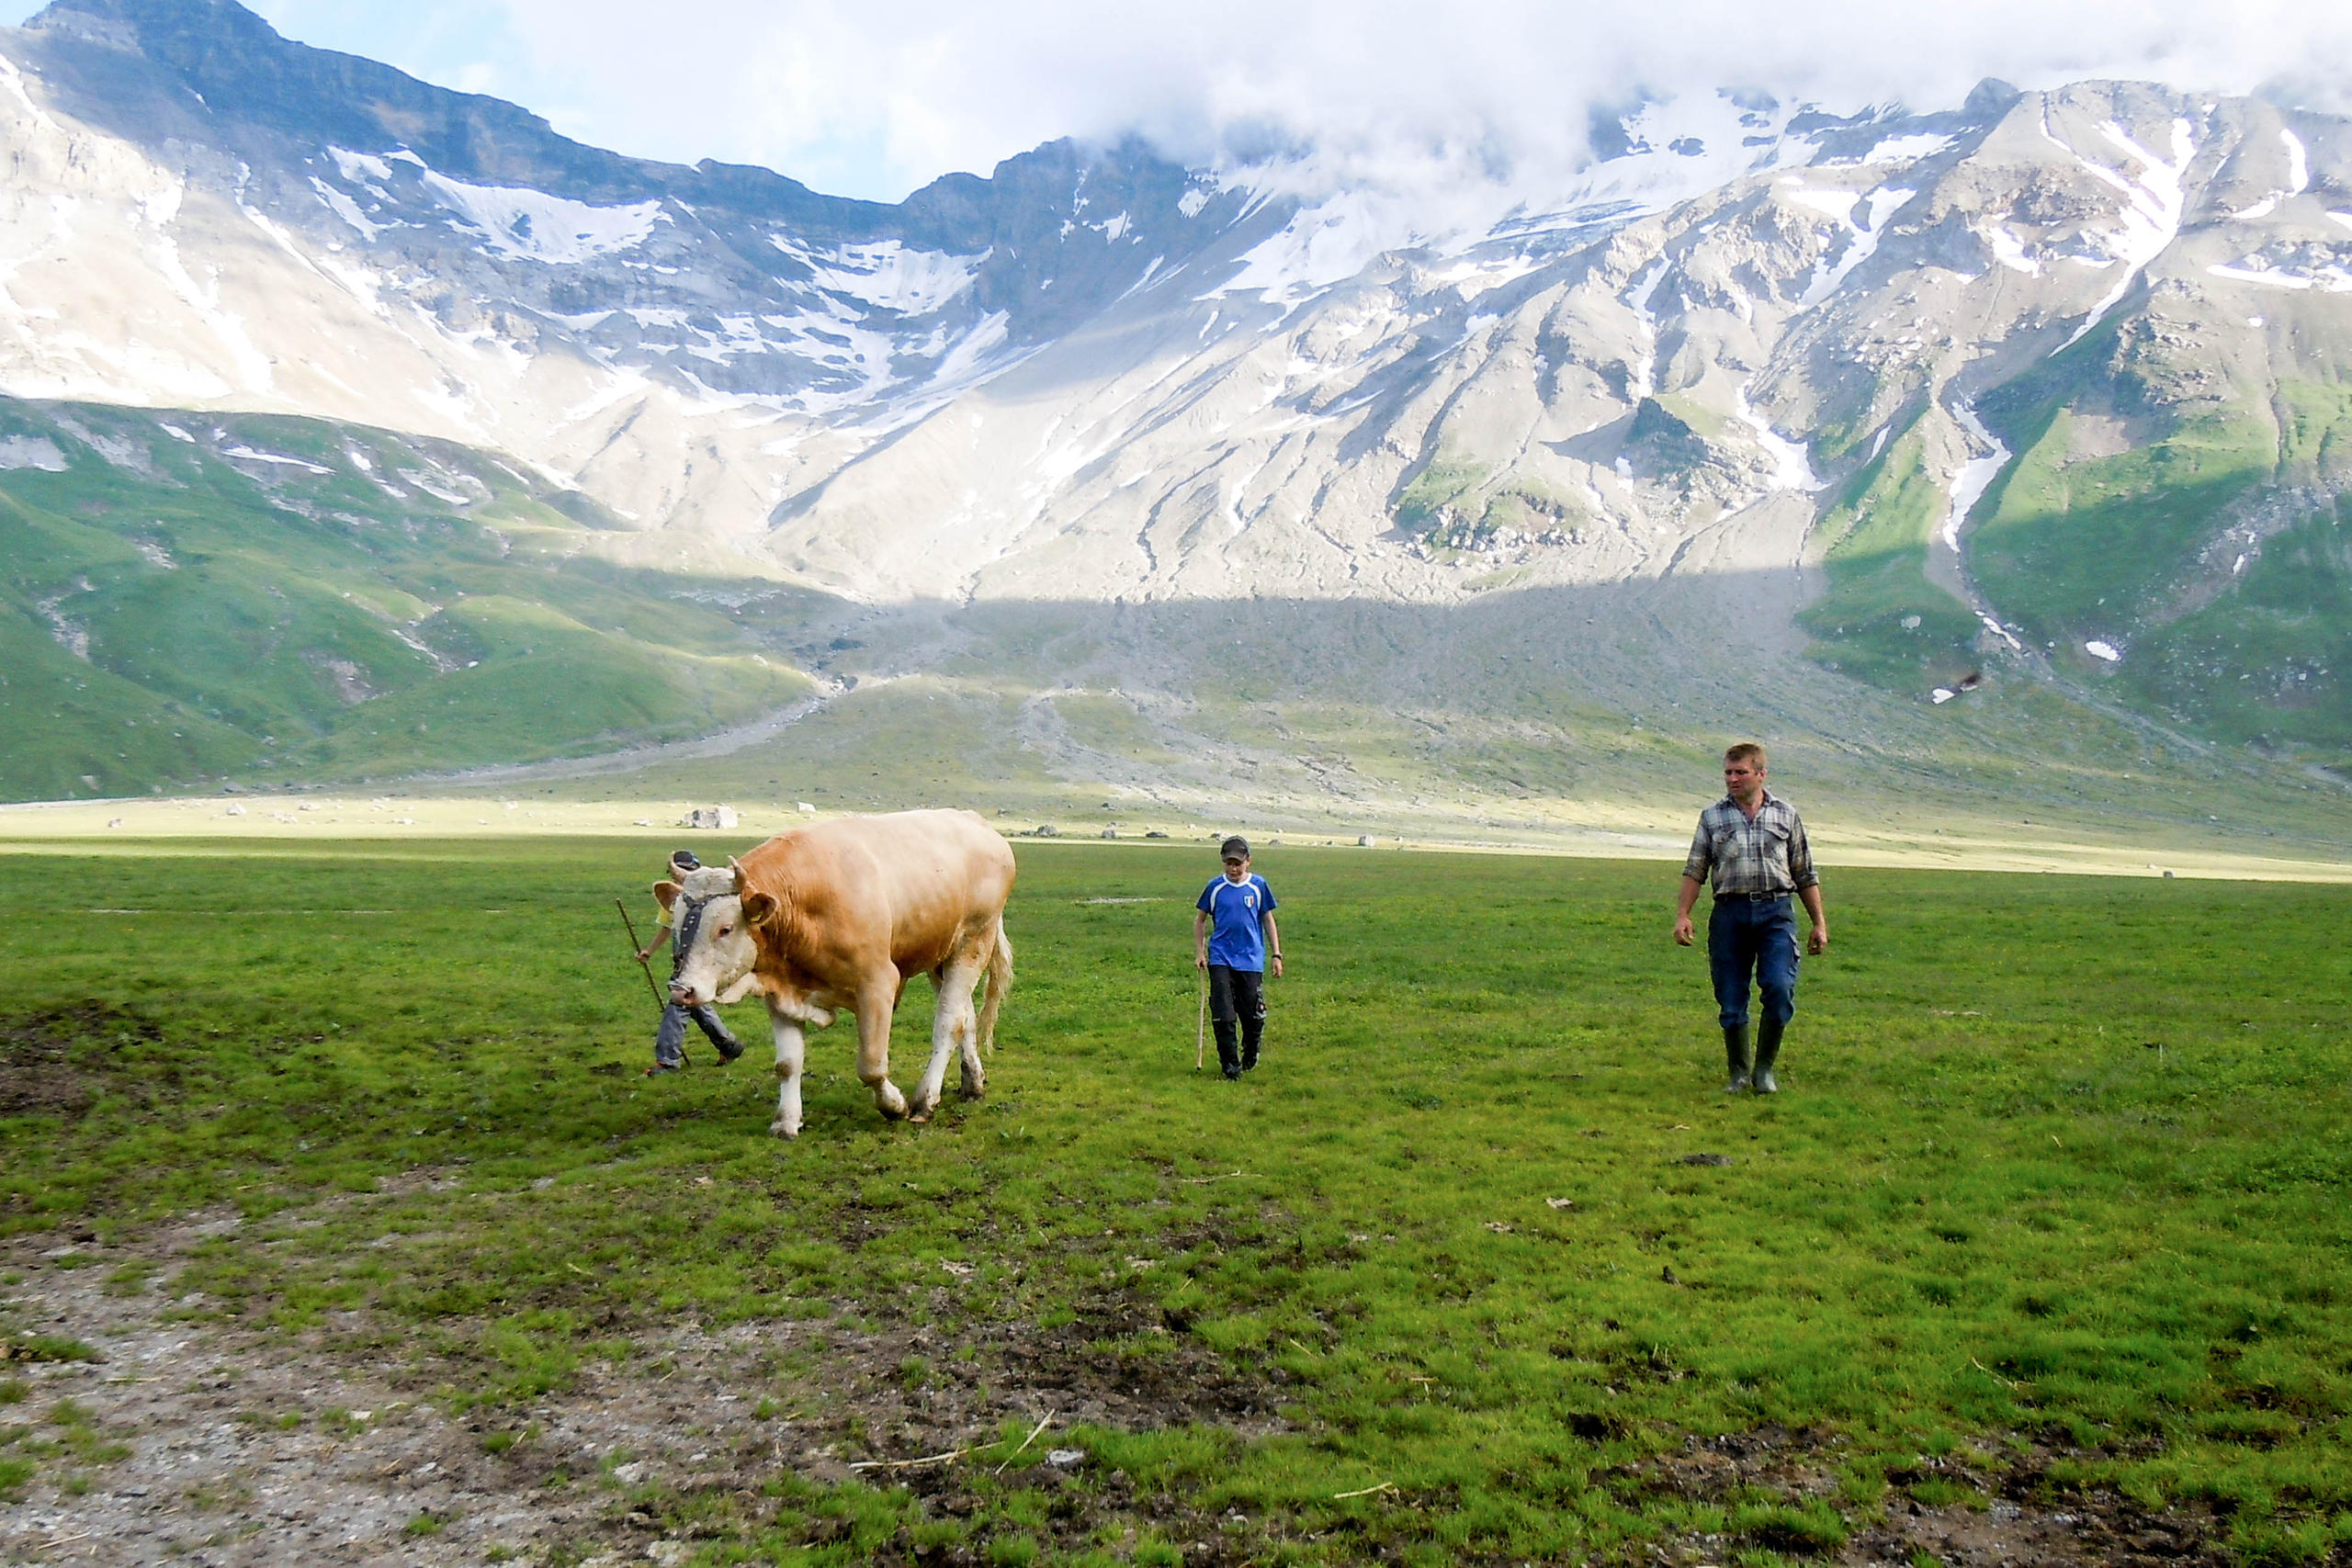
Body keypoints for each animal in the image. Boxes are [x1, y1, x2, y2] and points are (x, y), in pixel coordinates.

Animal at [668, 818, 1025, 1133]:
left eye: (725, 928)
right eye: (676, 923)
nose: (680, 989)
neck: (806, 902)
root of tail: (977, 822)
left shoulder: (878, 985)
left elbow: (871, 1066)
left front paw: (894, 1105)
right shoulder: (781, 993)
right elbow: (787, 1064)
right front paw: (786, 1122)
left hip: (974, 941)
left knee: (949, 1024)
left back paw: (924, 1101)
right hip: (941, 955)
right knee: (965, 1017)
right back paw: (972, 1084)